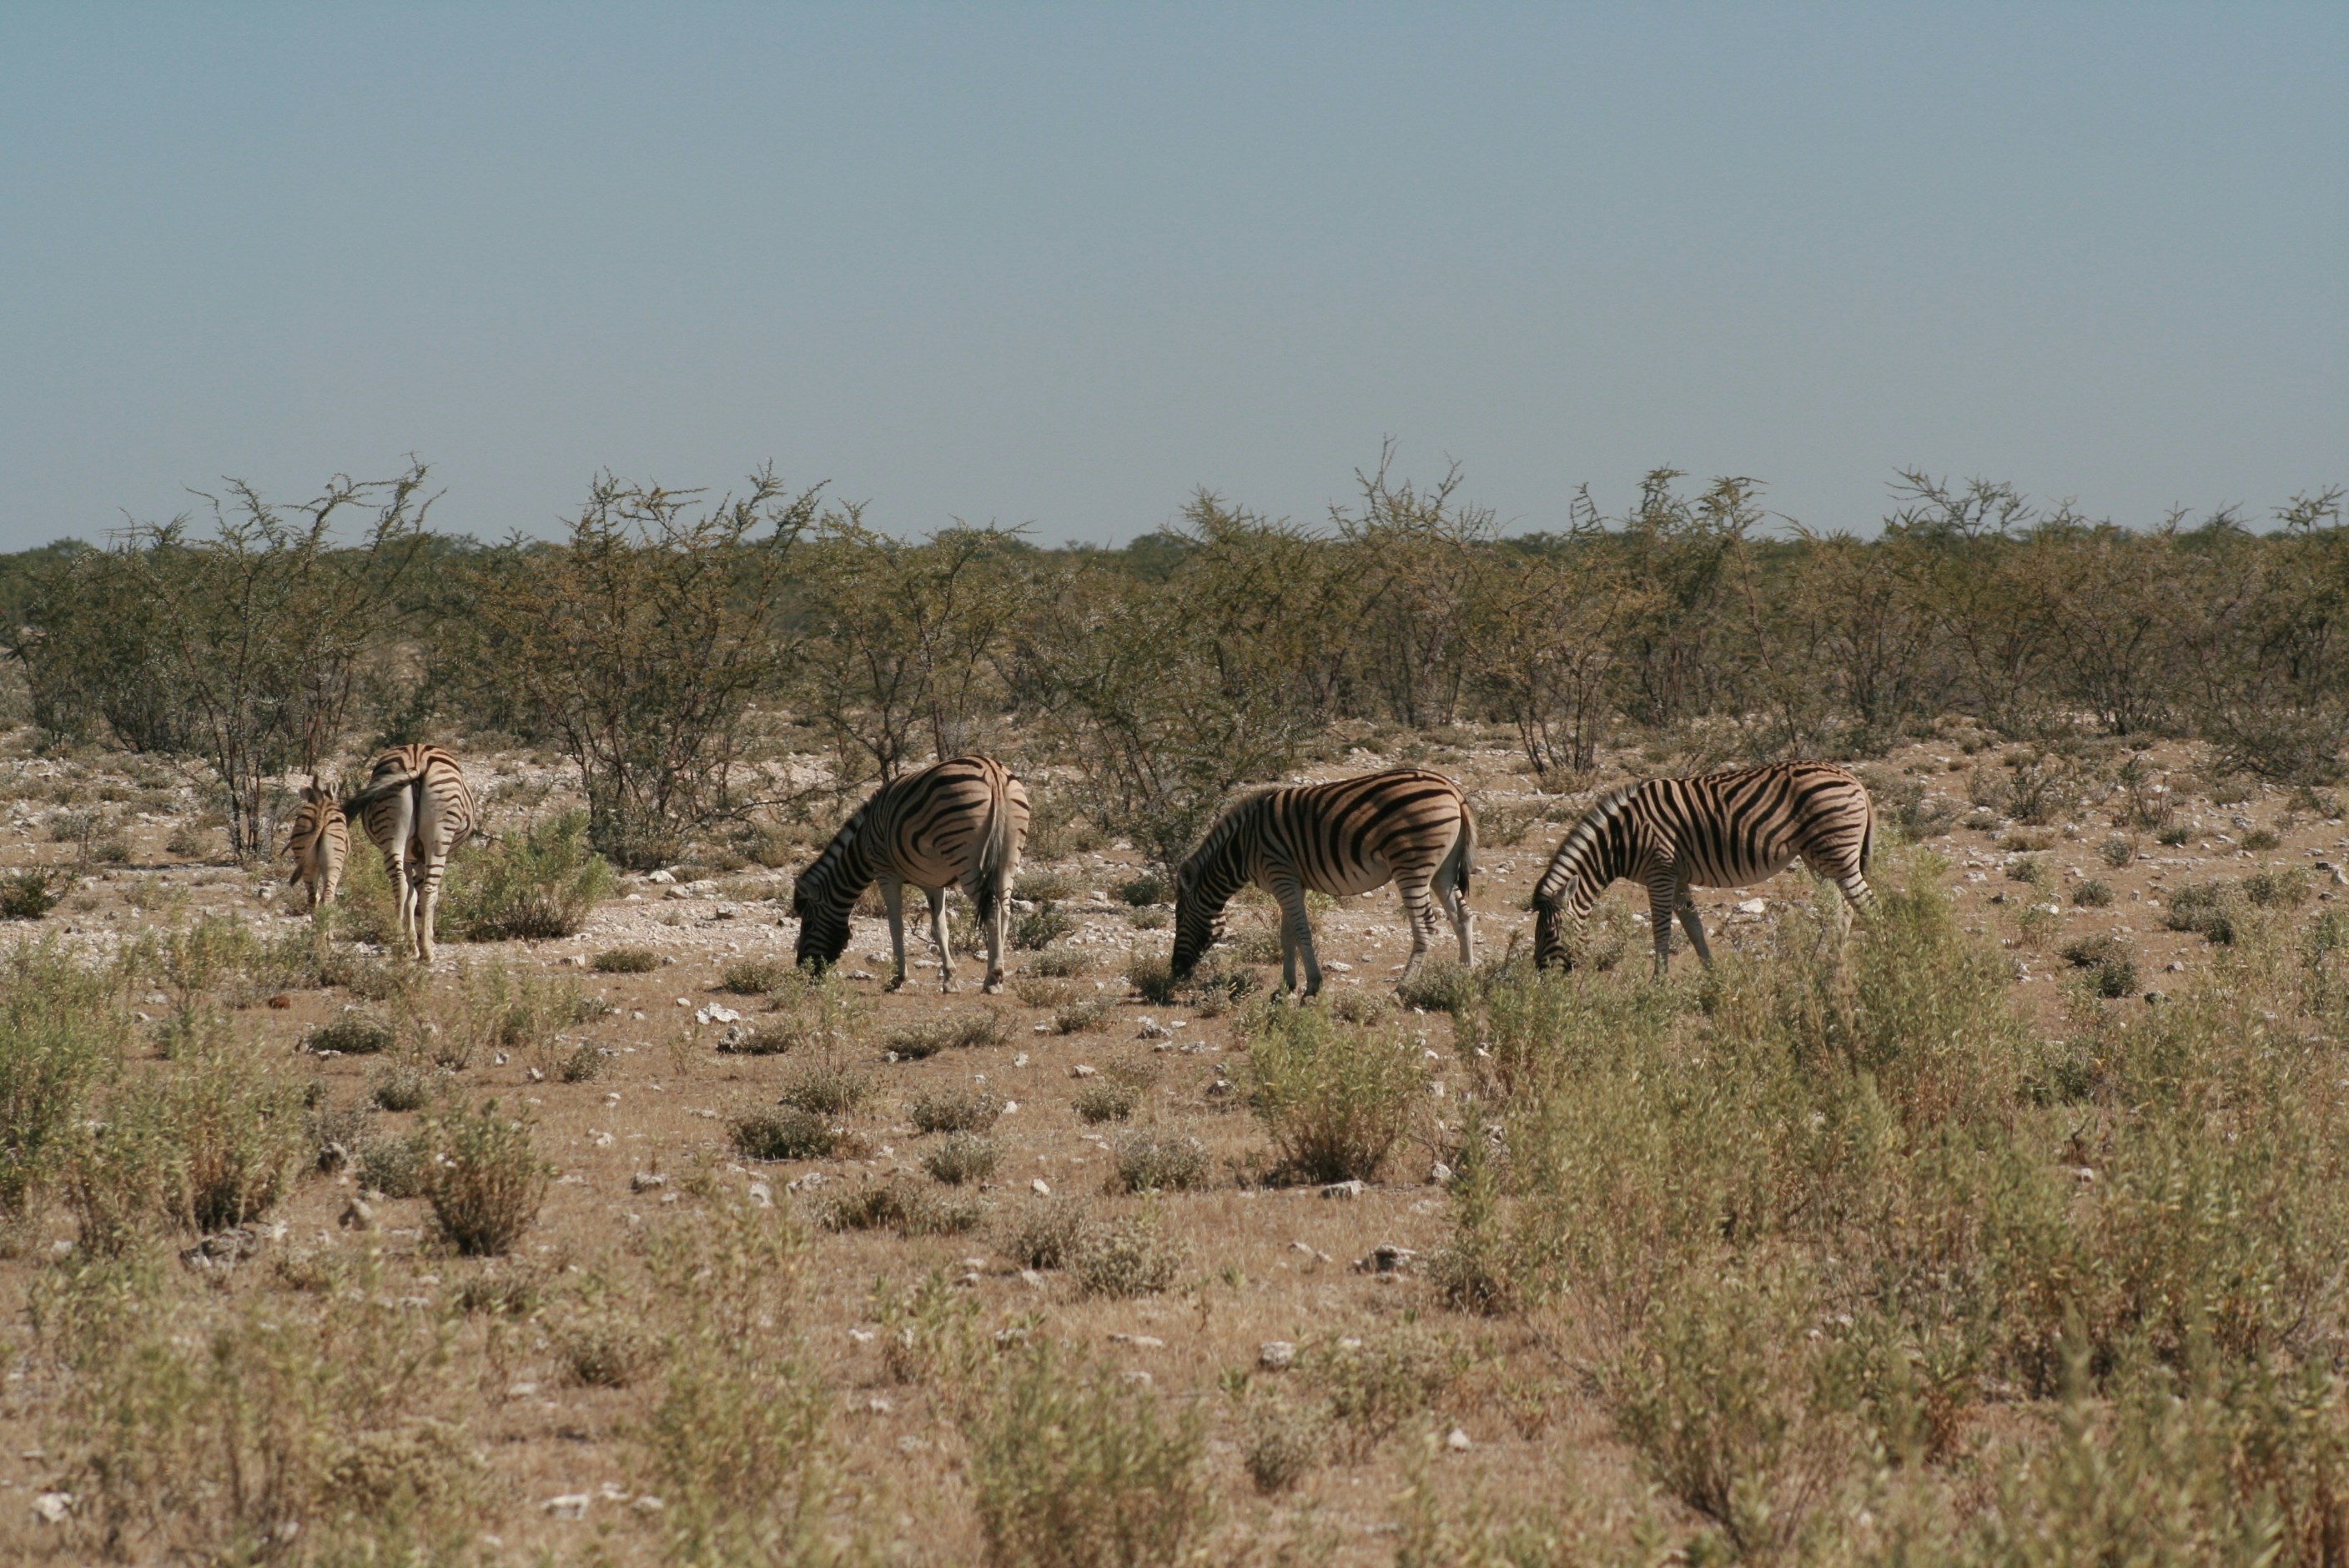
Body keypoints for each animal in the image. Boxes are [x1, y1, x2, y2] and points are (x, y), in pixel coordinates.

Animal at [342, 744, 478, 964]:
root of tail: (417, 756)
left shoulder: (409, 857)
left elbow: (410, 897)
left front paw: (411, 946)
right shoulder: (420, 859)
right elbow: (422, 894)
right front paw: (423, 942)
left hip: (392, 833)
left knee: (399, 883)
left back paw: (398, 940)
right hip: (439, 840)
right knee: (430, 889)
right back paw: (427, 951)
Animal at [792, 756, 1031, 994]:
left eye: (809, 923)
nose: (802, 969)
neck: (862, 843)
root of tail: (992, 770)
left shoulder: (885, 873)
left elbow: (895, 925)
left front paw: (897, 978)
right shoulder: (934, 881)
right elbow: (940, 928)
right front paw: (949, 979)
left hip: (967, 858)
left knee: (992, 909)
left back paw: (993, 977)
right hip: (1009, 858)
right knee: (1005, 910)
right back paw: (998, 976)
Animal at [1170, 767, 1475, 998]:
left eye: (1180, 916)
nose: (1175, 970)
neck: (1242, 847)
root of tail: (1453, 789)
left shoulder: (1281, 876)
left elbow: (1301, 931)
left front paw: (1312, 986)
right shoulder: (1290, 883)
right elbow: (1286, 934)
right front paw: (1286, 986)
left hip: (1412, 864)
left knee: (1426, 926)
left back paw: (1402, 988)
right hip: (1443, 870)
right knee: (1462, 916)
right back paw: (1463, 975)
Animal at [1531, 761, 1874, 976]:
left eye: (1549, 933)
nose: (1541, 976)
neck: (1621, 840)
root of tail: (1854, 780)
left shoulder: (1660, 873)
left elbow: (1661, 930)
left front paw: (1657, 984)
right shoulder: (1677, 876)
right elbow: (1693, 928)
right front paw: (1712, 977)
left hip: (1837, 853)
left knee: (1867, 905)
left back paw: (1882, 955)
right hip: (1818, 858)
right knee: (1842, 909)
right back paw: (1831, 965)